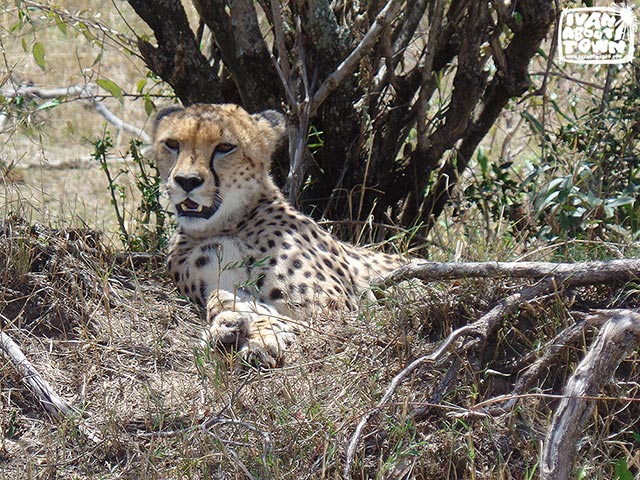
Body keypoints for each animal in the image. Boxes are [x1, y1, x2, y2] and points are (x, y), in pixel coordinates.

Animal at [152, 104, 408, 368]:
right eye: (172, 143)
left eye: (225, 147)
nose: (187, 181)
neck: (228, 224)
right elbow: (224, 298)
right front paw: (228, 328)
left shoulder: (337, 310)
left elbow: (306, 323)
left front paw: (258, 337)